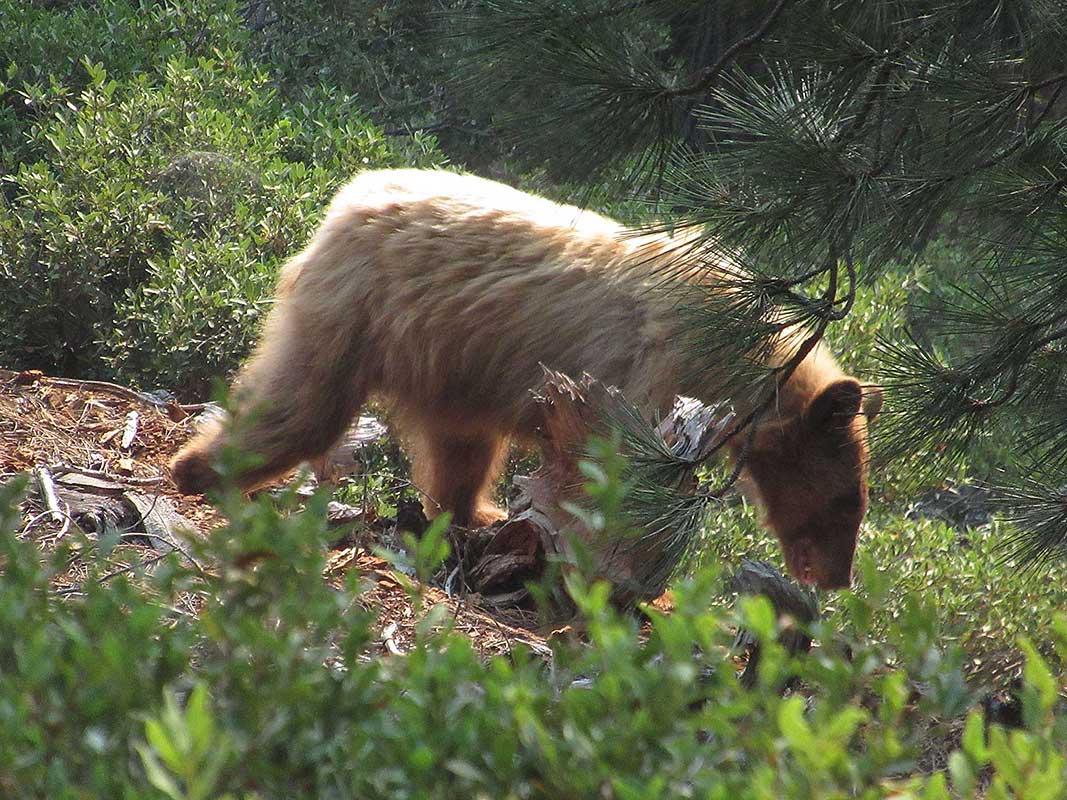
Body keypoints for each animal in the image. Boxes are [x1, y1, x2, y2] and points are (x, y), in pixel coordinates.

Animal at [170, 169, 879, 593]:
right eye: (849, 501)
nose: (838, 579)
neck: (741, 359)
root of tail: (351, 196)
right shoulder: (655, 367)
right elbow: (622, 468)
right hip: (361, 311)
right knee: (305, 402)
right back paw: (201, 468)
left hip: (450, 357)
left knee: (459, 449)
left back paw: (473, 515)